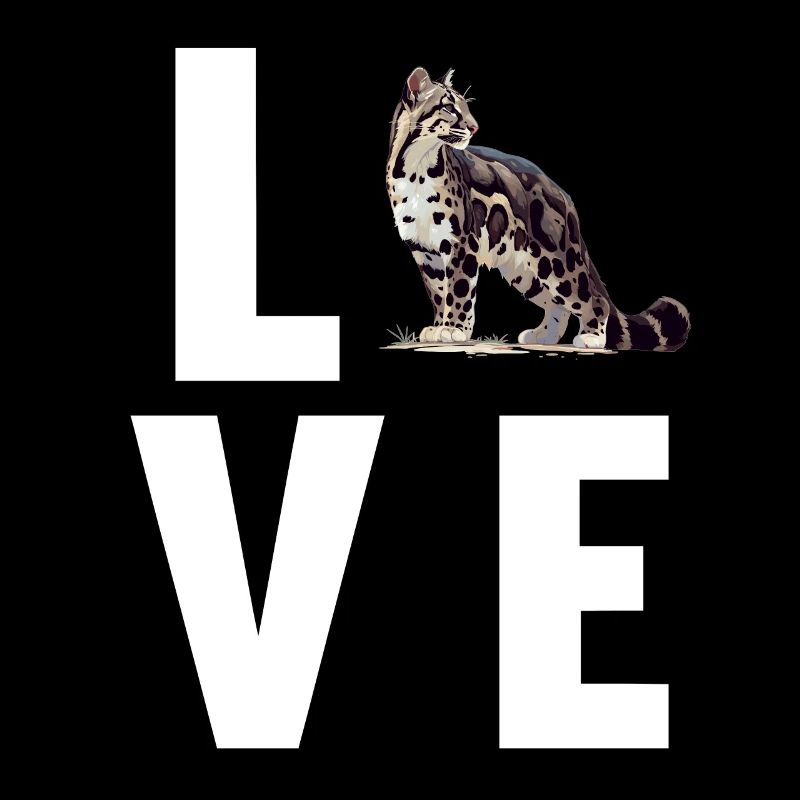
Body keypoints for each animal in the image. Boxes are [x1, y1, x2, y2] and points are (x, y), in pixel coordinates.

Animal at [386, 67, 690, 351]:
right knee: (557, 305)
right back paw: (544, 336)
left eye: (467, 107)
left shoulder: (461, 243)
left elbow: (458, 290)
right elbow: (439, 293)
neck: (415, 169)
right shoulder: (424, 250)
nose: (474, 127)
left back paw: (591, 337)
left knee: (593, 298)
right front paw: (439, 326)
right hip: (526, 268)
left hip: (556, 260)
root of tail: (562, 193)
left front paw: (454, 329)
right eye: (449, 107)